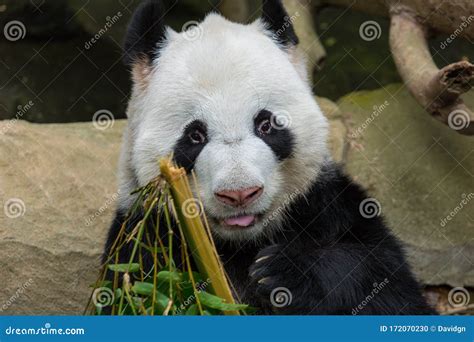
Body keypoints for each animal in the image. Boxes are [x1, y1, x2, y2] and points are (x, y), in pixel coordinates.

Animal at [103, 0, 434, 316]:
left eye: (266, 125)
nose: (239, 194)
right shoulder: (143, 237)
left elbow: (384, 283)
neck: (243, 243)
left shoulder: (327, 206)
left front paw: (283, 274)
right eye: (195, 135)